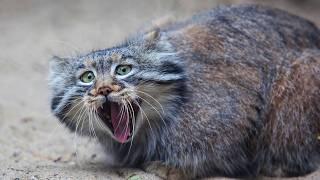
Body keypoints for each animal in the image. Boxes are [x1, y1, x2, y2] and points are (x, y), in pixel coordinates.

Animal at [48, 4, 320, 179]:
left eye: (124, 69)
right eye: (87, 77)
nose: (103, 89)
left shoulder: (232, 111)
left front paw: (177, 168)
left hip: (303, 74)